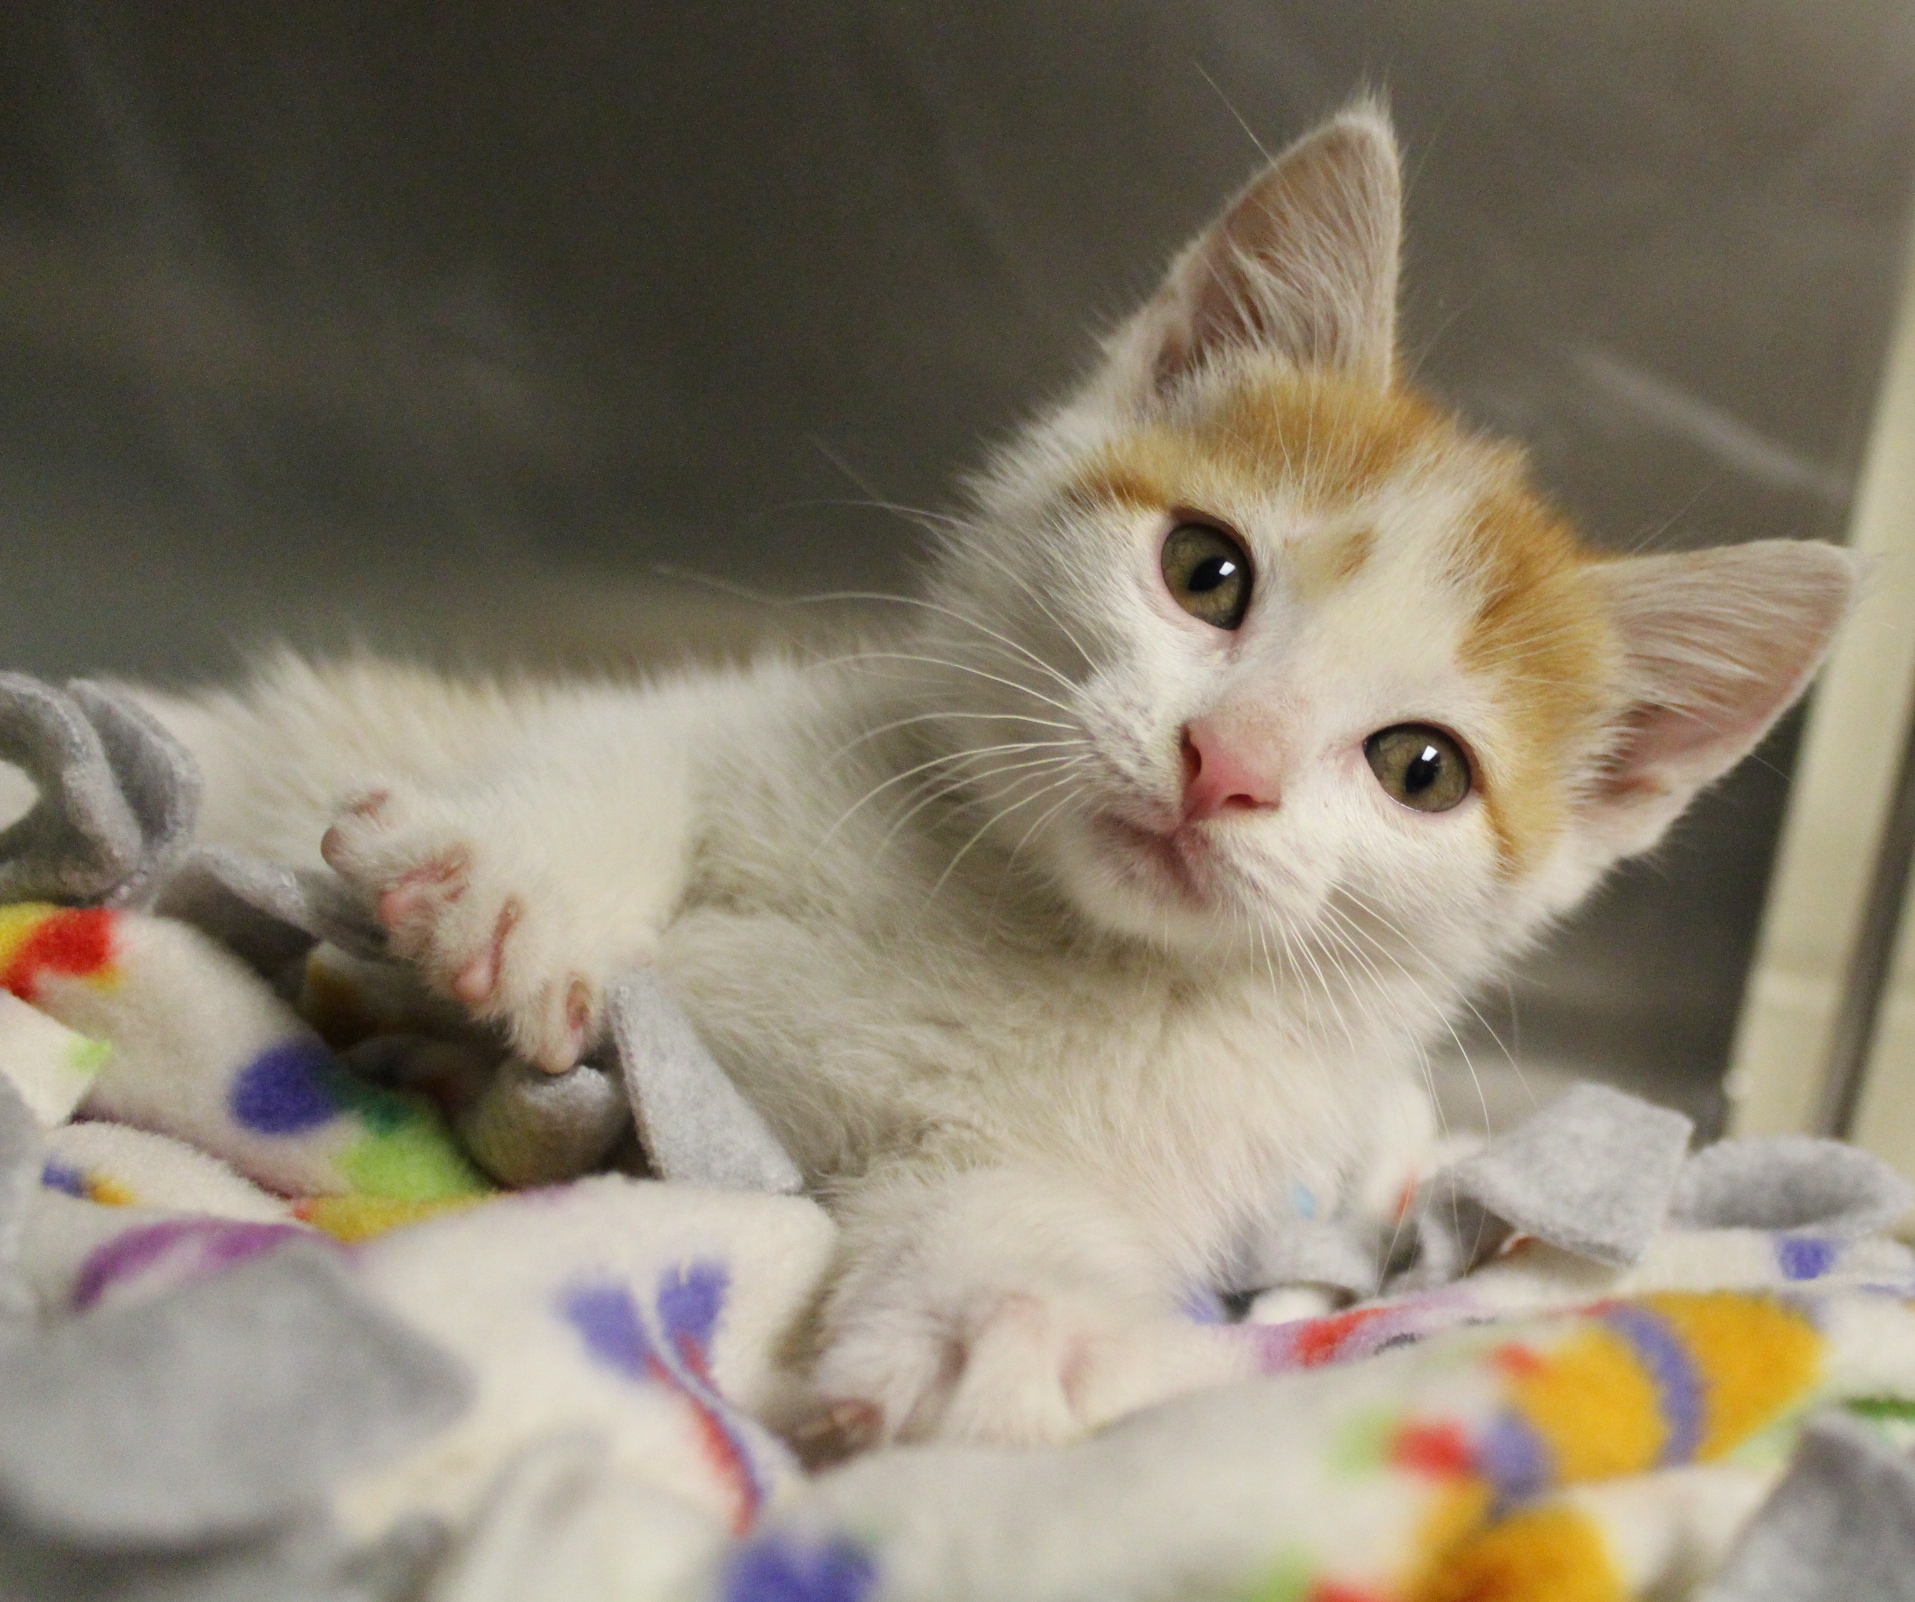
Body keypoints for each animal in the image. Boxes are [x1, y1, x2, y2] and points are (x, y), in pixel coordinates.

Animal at [141, 106, 1861, 1446]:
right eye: (1203, 569)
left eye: (1420, 767)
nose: (1223, 762)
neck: (1044, 933)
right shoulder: (776, 721)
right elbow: (644, 746)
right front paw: (515, 889)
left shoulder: (1043, 1144)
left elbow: (979, 1208)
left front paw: (1010, 1319)